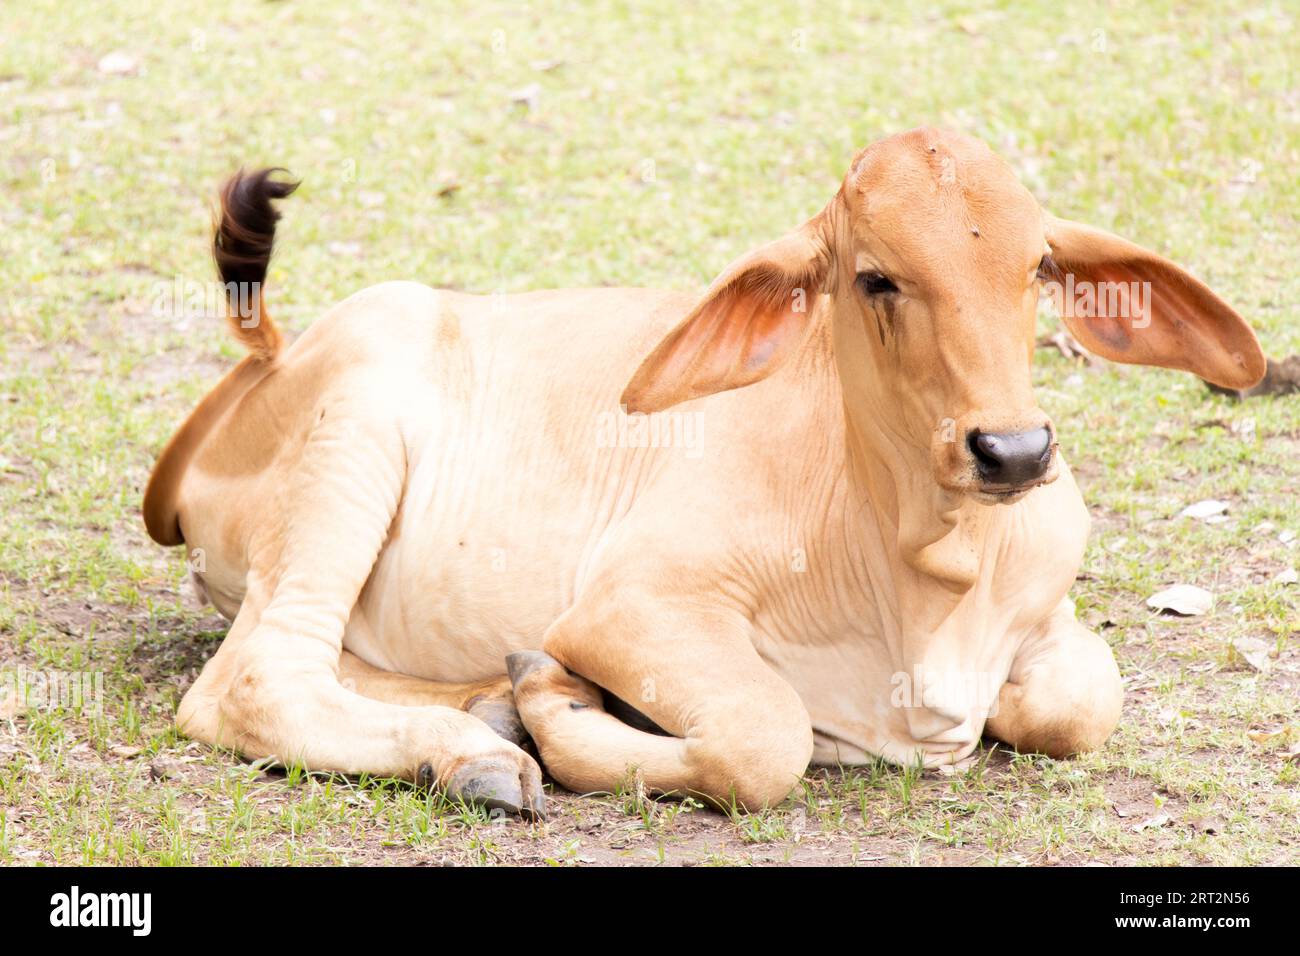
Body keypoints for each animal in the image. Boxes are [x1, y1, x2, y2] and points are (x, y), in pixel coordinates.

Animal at [143, 127, 1265, 816]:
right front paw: (563, 714)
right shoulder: (630, 605)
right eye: (875, 278)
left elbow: (1081, 702)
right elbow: (766, 741)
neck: (925, 566)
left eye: (1036, 266)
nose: (1014, 450)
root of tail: (269, 362)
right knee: (254, 679)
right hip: (349, 447)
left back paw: (485, 704)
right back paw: (477, 754)